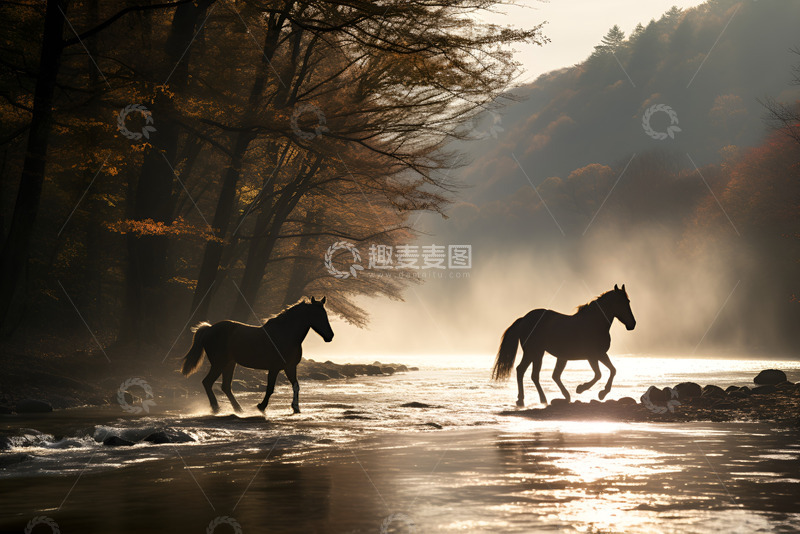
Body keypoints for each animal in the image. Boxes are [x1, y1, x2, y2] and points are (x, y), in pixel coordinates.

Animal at [181, 296, 334, 414]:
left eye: (325, 314)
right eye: (317, 315)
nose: (330, 336)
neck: (285, 335)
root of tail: (209, 329)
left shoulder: (290, 367)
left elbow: (296, 386)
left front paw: (295, 407)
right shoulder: (274, 368)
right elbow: (270, 388)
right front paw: (261, 406)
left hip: (229, 363)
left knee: (225, 386)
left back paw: (238, 409)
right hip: (219, 363)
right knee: (207, 382)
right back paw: (216, 408)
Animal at [491, 284, 636, 406]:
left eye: (628, 302)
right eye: (621, 303)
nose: (632, 324)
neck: (594, 323)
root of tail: (523, 319)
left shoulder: (601, 354)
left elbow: (613, 370)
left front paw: (602, 393)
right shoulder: (592, 356)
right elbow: (599, 374)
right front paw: (582, 389)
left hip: (547, 355)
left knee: (543, 375)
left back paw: (553, 397)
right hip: (534, 352)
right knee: (524, 371)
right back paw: (526, 399)